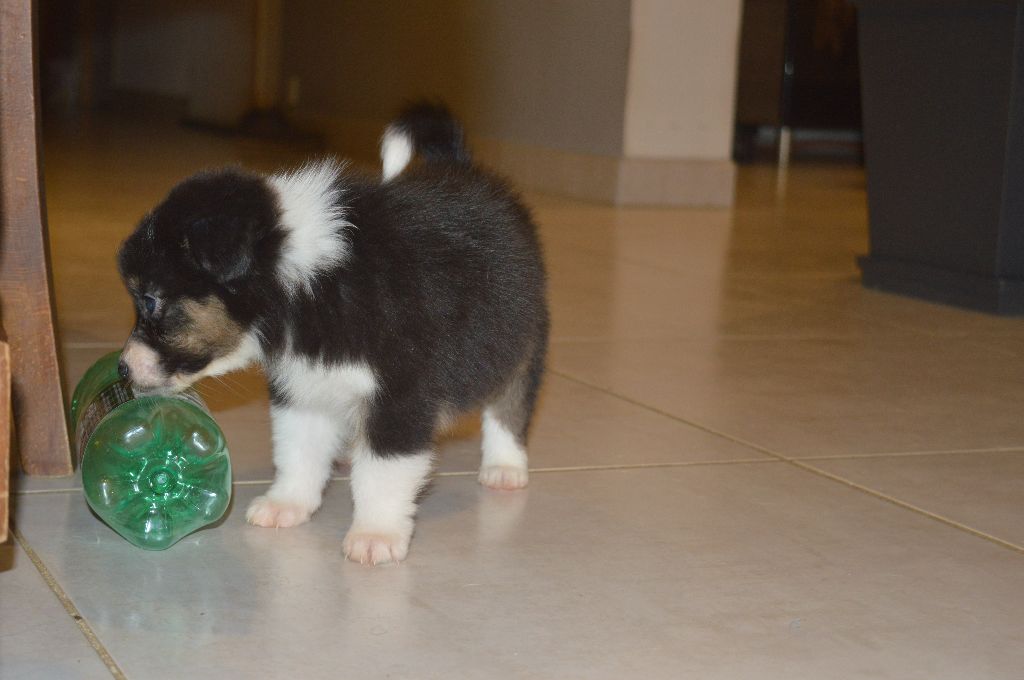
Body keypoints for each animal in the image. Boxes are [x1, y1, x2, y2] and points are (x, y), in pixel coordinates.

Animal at [117, 102, 548, 564]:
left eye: (150, 301)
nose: (122, 369)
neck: (307, 283)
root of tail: (462, 166)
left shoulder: (401, 395)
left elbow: (382, 471)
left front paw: (375, 535)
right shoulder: (303, 384)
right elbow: (298, 449)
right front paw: (285, 505)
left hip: (520, 335)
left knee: (509, 402)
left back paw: (504, 467)